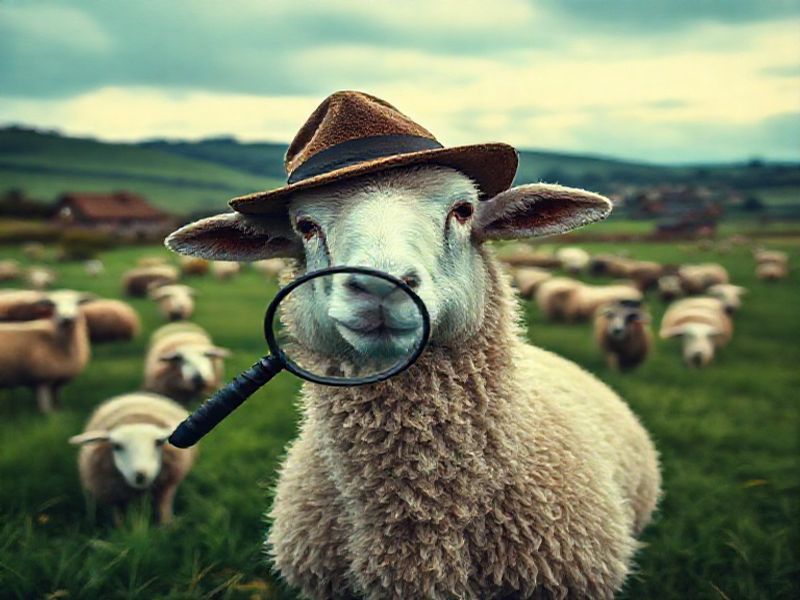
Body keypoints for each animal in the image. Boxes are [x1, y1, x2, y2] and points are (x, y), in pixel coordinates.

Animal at [69, 392, 197, 525]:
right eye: (117, 446)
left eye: (158, 442)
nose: (140, 475)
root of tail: (140, 394)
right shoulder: (115, 495)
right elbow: (120, 518)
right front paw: (121, 528)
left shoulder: (165, 490)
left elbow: (163, 510)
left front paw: (166, 526)